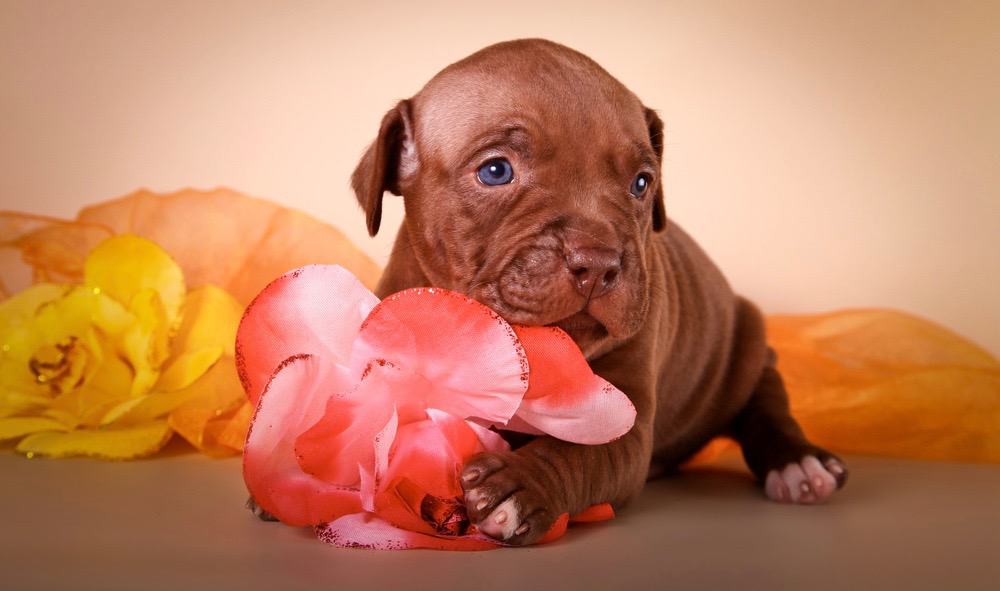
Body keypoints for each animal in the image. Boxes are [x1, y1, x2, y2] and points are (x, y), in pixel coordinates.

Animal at [352, 38, 844, 544]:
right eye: (495, 171)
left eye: (641, 183)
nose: (599, 262)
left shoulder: (622, 425)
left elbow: (577, 454)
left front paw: (520, 485)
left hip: (746, 344)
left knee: (765, 403)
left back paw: (800, 464)